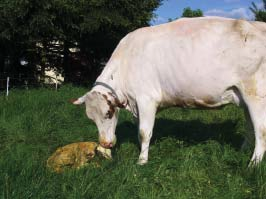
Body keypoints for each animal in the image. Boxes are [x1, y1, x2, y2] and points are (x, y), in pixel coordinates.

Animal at [72, 17, 266, 166]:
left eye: (108, 113)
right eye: (91, 118)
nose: (105, 143)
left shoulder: (146, 99)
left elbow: (144, 132)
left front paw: (142, 161)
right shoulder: (137, 104)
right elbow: (139, 131)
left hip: (256, 95)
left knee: (260, 130)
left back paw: (253, 165)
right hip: (243, 98)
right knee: (250, 128)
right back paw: (243, 151)